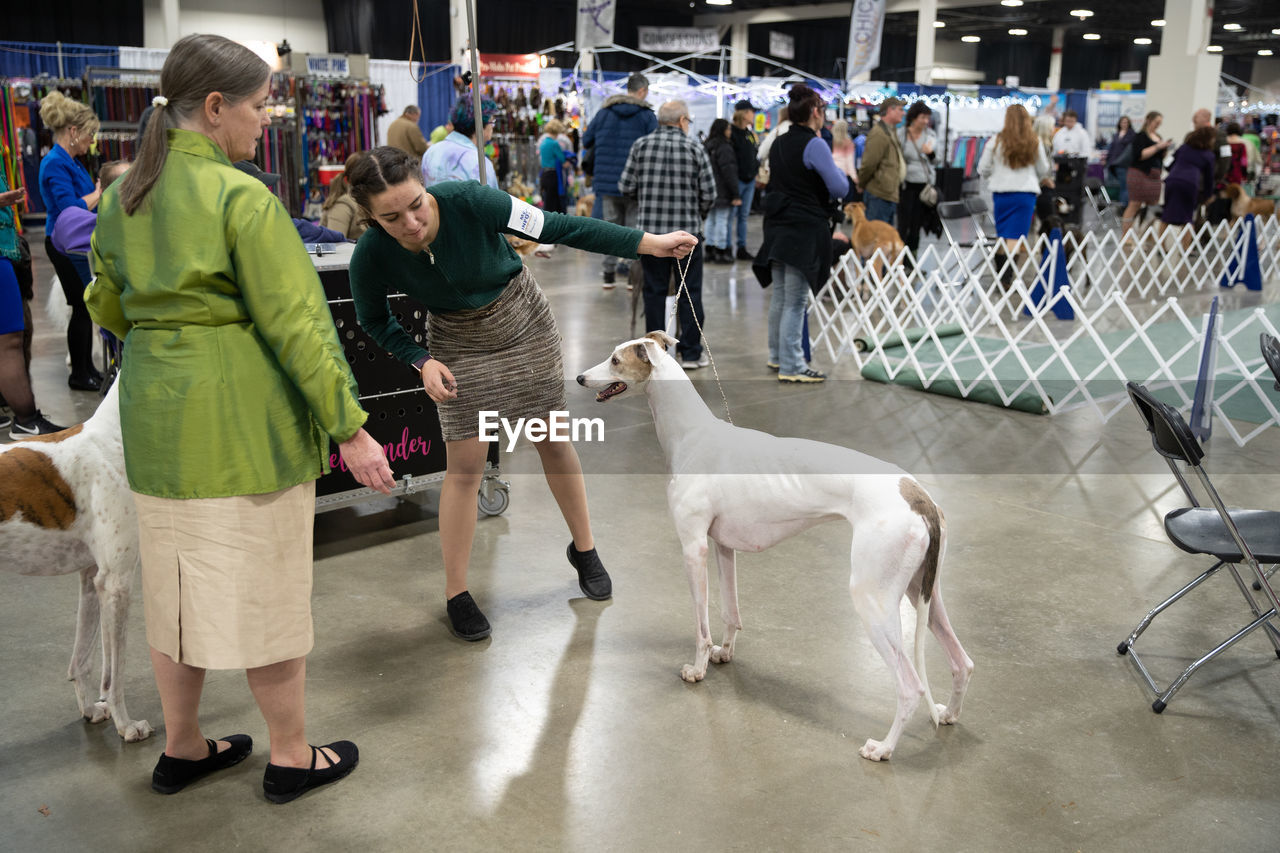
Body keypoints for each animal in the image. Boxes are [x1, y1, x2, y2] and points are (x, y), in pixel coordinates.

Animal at [1, 381, 152, 742]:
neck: (113, 437)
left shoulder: (92, 577)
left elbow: (81, 661)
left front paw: (91, 710)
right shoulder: (116, 583)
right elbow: (114, 675)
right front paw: (126, 725)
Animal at [576, 333, 972, 758]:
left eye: (615, 361)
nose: (580, 378)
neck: (691, 433)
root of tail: (920, 496)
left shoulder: (693, 549)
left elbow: (700, 626)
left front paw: (697, 670)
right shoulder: (722, 547)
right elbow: (730, 611)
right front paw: (724, 653)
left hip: (873, 599)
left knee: (911, 686)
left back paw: (882, 748)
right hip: (923, 593)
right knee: (962, 662)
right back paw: (948, 714)